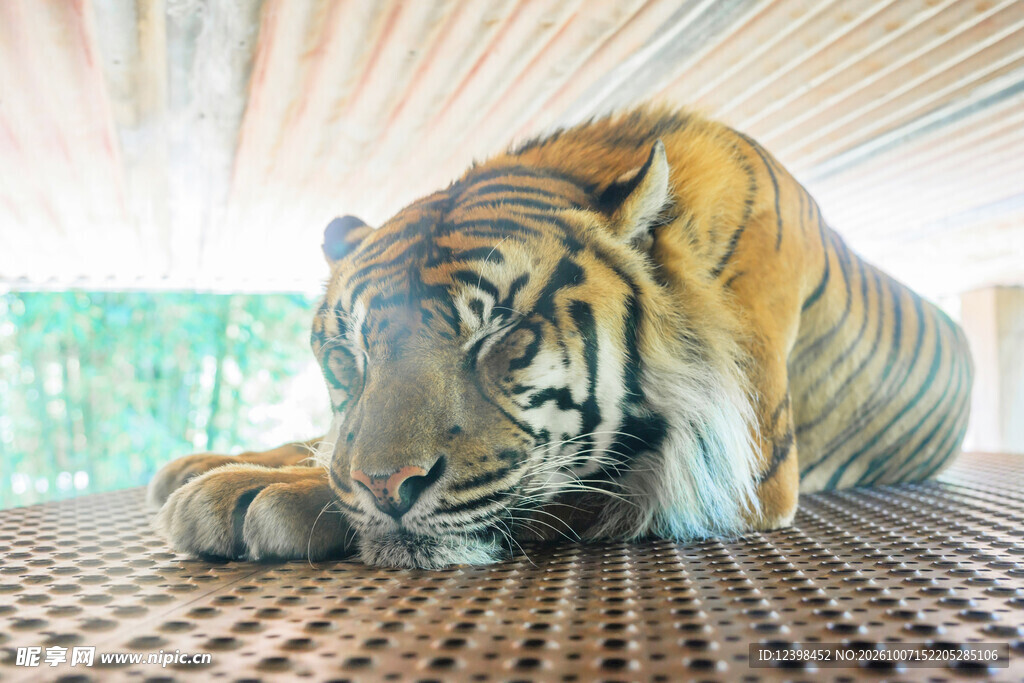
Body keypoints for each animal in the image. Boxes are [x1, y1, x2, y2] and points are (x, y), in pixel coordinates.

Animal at [149, 107, 973, 569]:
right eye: (345, 358)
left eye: (502, 336)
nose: (385, 487)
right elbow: (325, 443)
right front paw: (220, 462)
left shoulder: (741, 473)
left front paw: (257, 492)